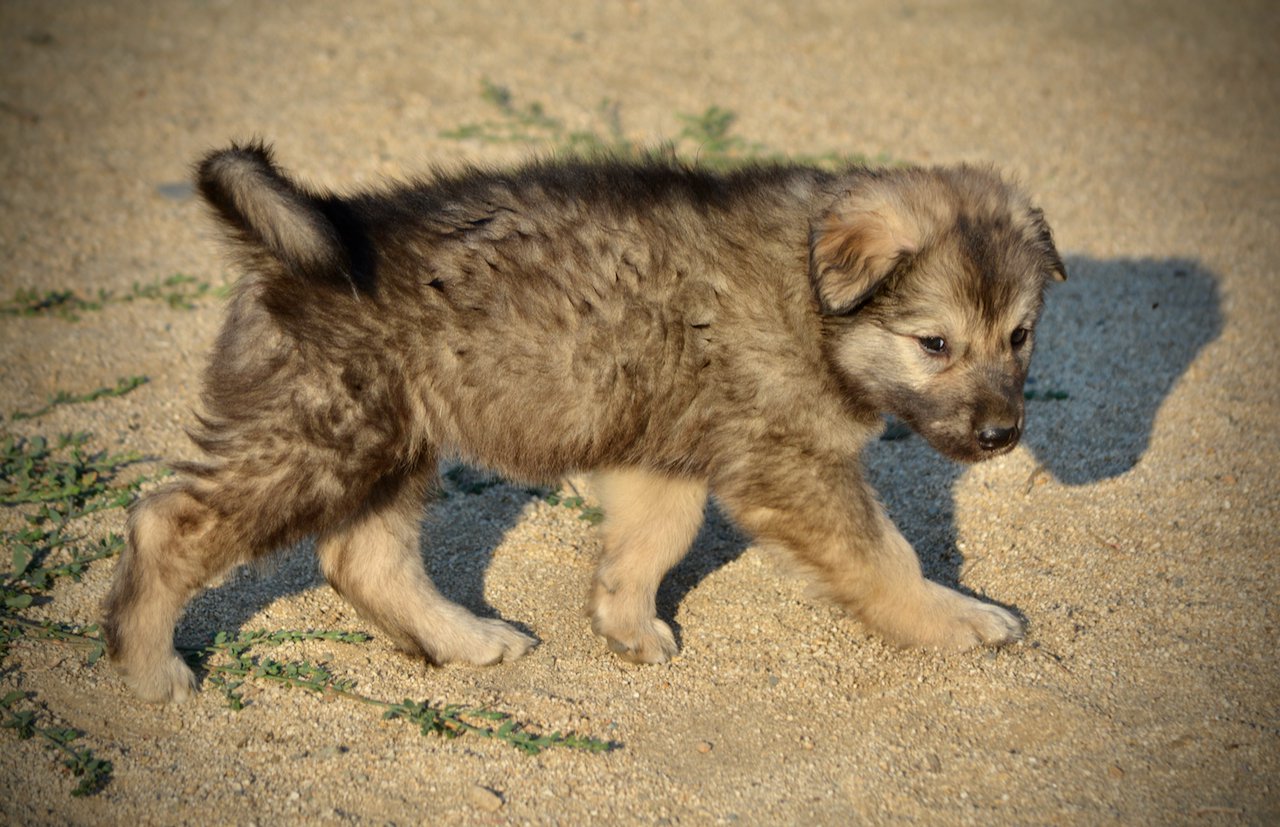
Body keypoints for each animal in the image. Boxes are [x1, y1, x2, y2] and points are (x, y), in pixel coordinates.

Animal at [99, 145, 1064, 701]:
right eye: (935, 344)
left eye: (1020, 335)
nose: (1002, 436)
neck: (809, 290)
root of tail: (296, 244)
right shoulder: (791, 460)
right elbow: (883, 556)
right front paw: (954, 617)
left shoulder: (665, 453)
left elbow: (654, 539)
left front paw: (622, 619)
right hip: (317, 438)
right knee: (165, 526)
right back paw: (149, 671)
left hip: (391, 438)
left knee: (363, 556)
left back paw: (467, 639)